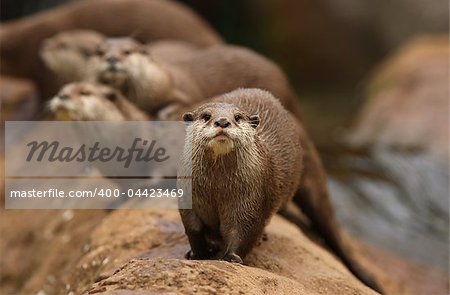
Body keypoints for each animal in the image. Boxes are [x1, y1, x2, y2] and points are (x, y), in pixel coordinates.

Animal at [178, 88, 380, 294]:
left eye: (238, 117)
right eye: (206, 116)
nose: (222, 121)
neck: (217, 190)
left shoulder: (252, 198)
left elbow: (245, 230)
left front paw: (231, 257)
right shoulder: (188, 197)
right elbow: (193, 228)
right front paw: (198, 253)